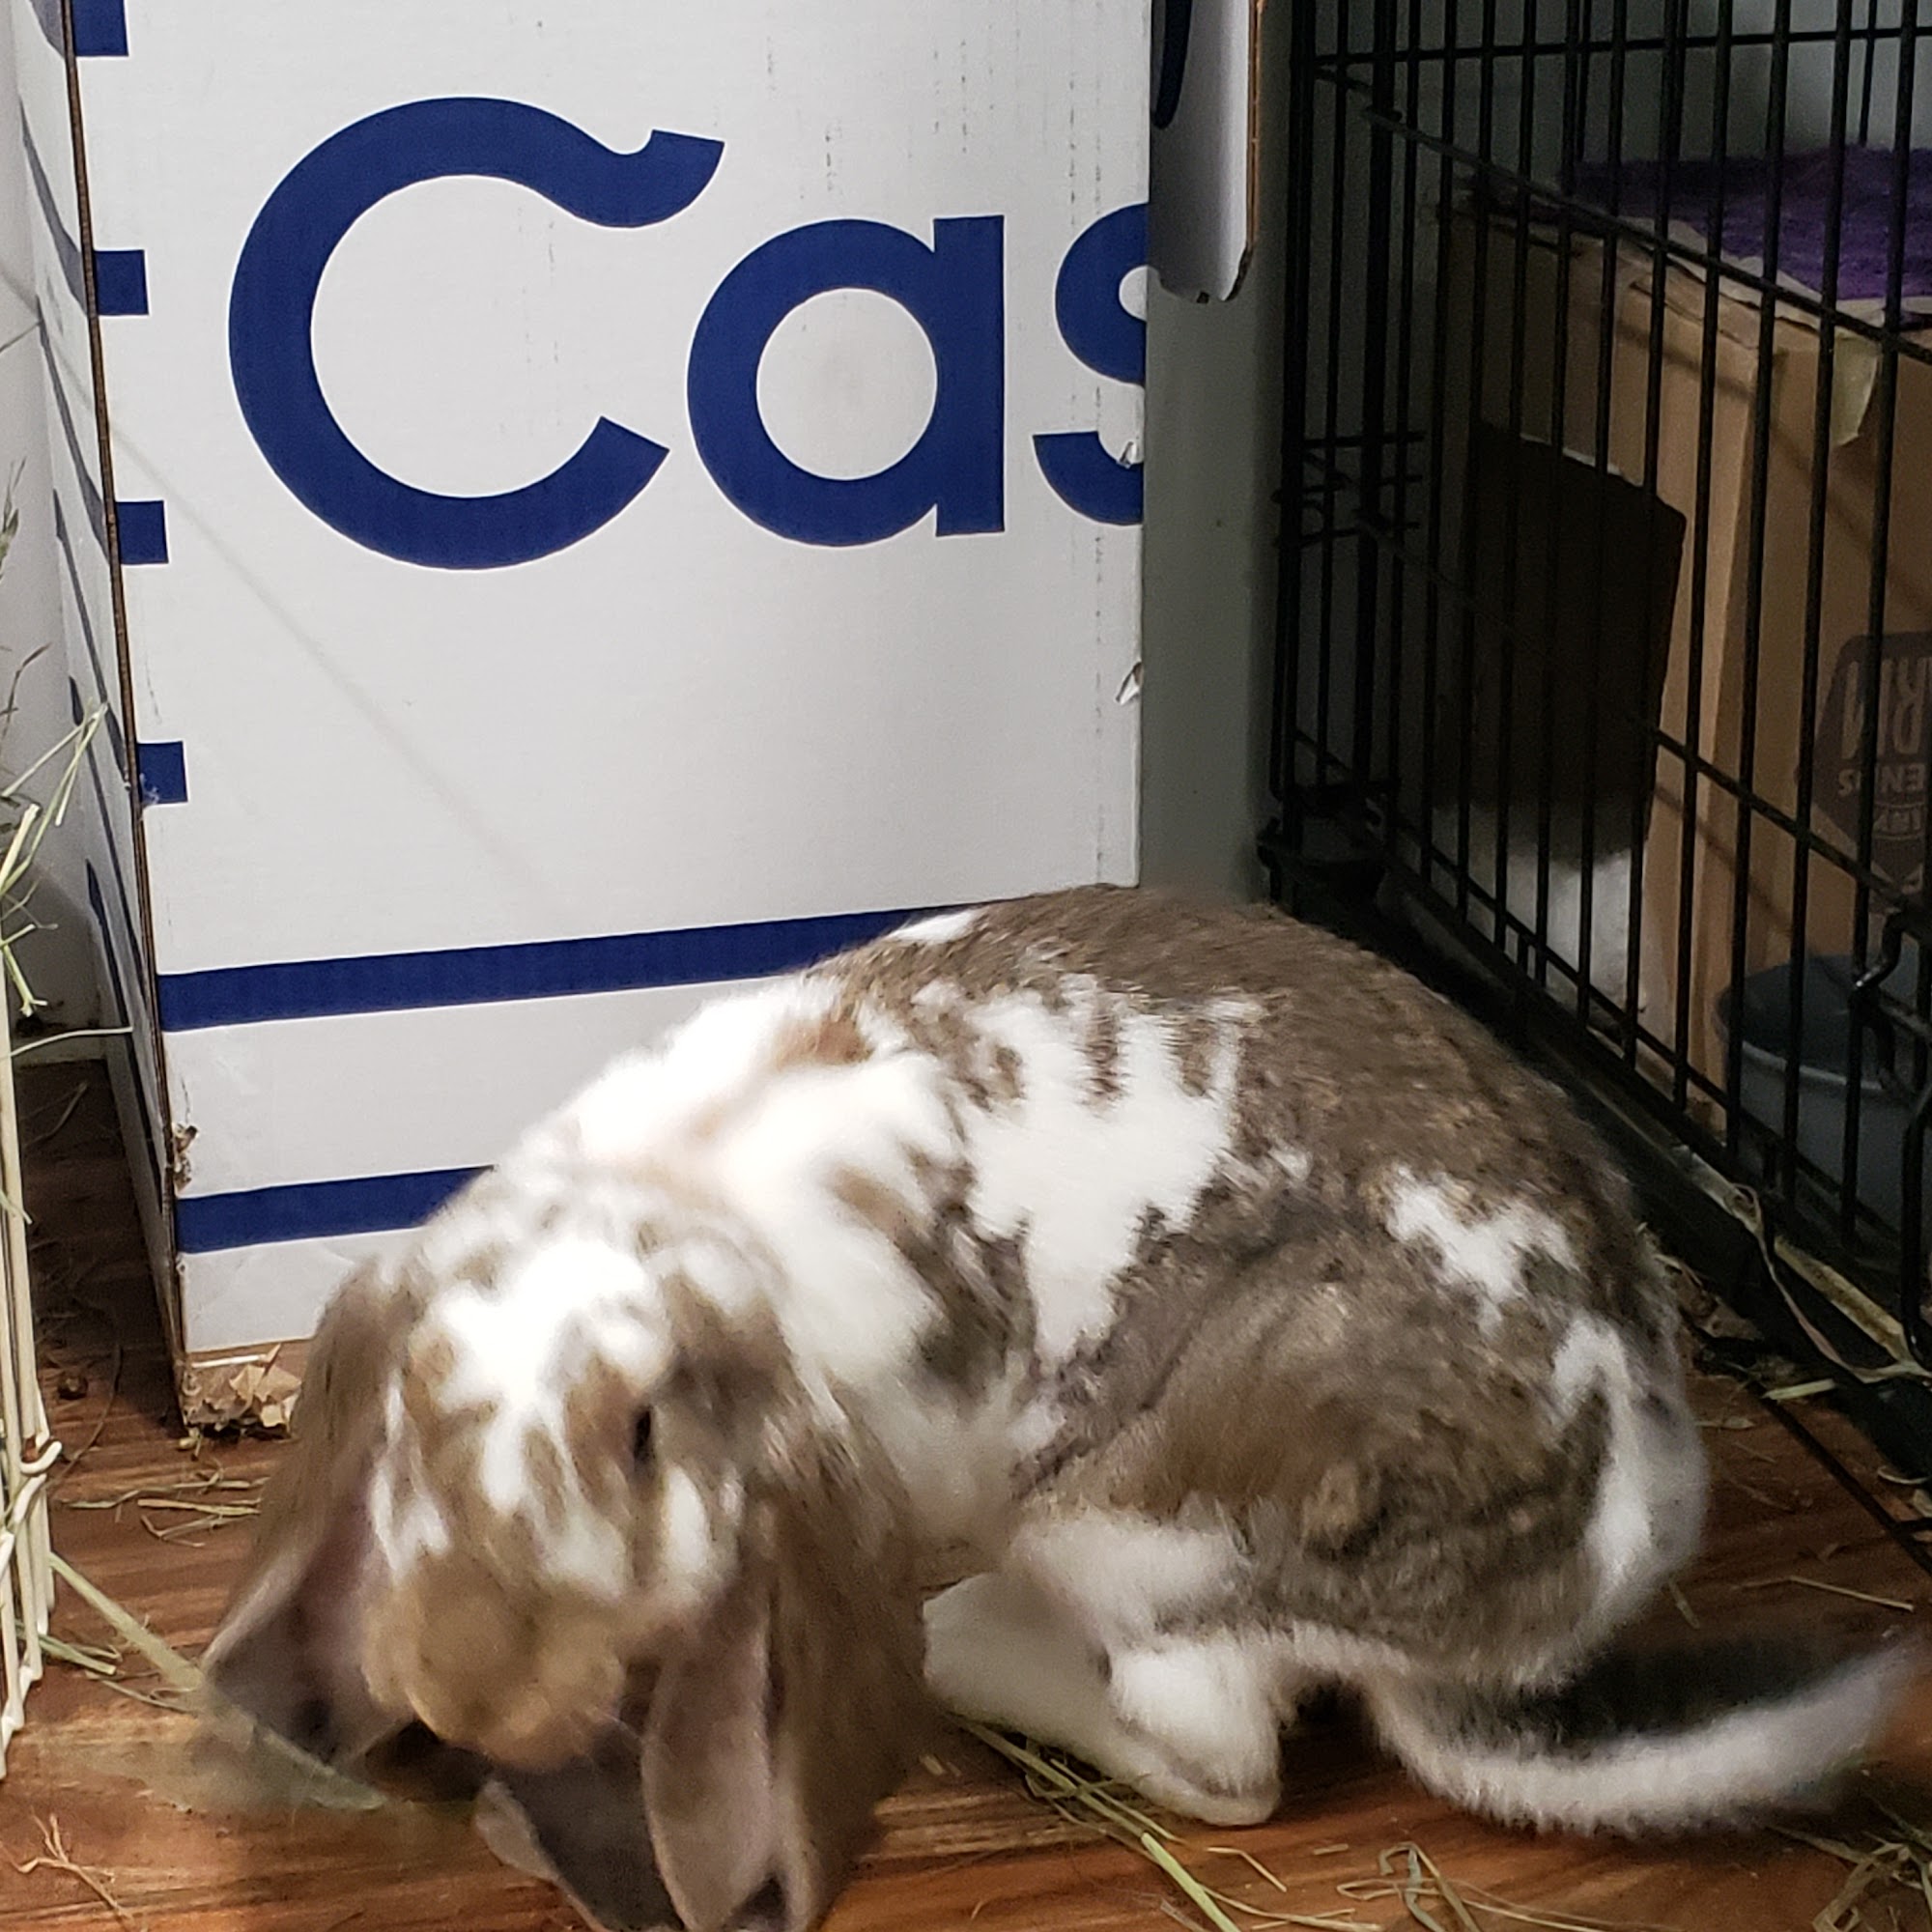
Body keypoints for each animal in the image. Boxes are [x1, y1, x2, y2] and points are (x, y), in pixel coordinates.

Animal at [203, 885, 1916, 1932]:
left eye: (641, 1433)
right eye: (412, 1413)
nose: (468, 1693)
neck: (685, 1209)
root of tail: (1544, 1611)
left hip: (1131, 1526)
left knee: (1225, 1762)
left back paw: (977, 1641)